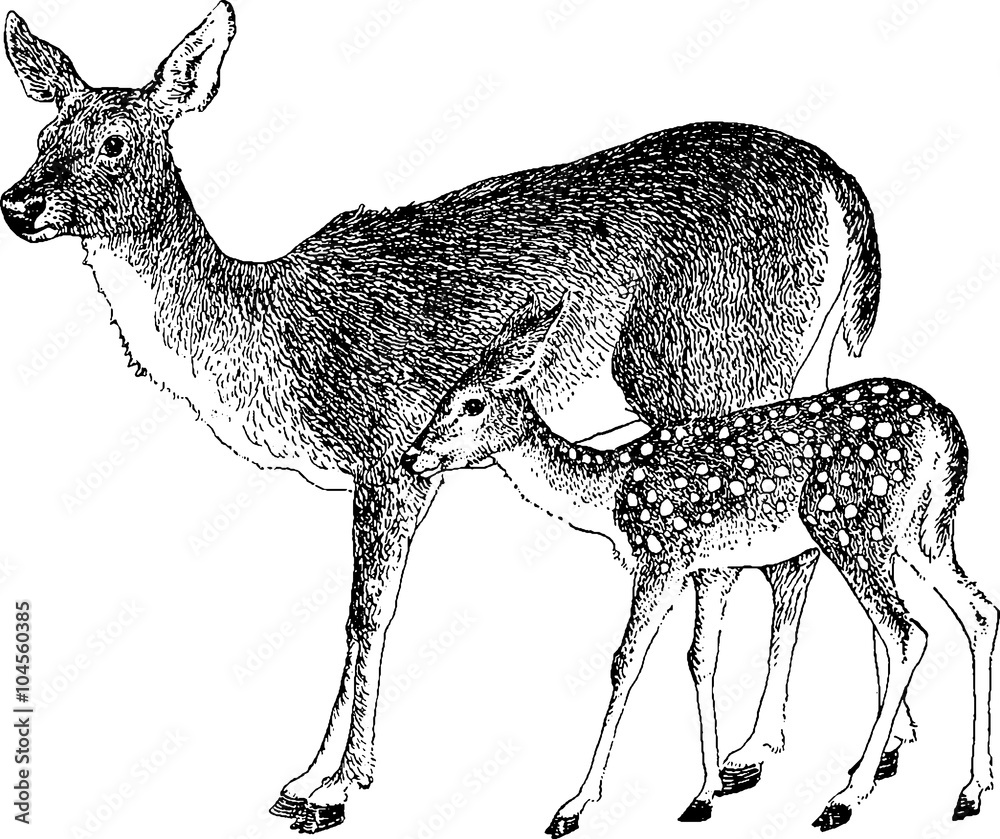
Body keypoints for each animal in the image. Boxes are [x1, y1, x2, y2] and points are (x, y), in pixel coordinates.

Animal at [0, 2, 898, 834]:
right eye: (43, 129)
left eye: (116, 140)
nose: (19, 201)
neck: (271, 343)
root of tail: (845, 194)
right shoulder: (383, 471)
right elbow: (358, 615)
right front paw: (303, 775)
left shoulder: (390, 453)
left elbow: (367, 613)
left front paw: (337, 787)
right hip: (800, 363)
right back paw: (833, 750)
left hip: (718, 366)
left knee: (781, 553)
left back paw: (762, 754)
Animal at [406, 296, 998, 833]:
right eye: (443, 397)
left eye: (472, 403)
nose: (413, 455)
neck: (605, 498)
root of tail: (949, 435)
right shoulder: (711, 567)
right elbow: (700, 659)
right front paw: (707, 791)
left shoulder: (661, 554)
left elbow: (626, 662)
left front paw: (573, 806)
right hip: (924, 530)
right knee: (977, 611)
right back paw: (972, 788)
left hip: (851, 521)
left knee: (908, 631)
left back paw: (847, 796)